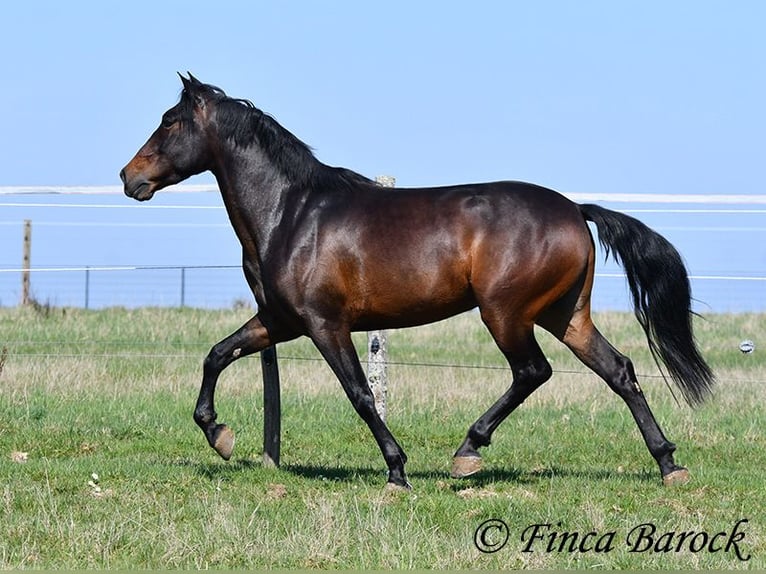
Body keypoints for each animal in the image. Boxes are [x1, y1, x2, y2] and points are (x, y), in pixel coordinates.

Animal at [120, 73, 714, 490]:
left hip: (505, 313)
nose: (130, 177)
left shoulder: (325, 324)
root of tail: (575, 210)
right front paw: (219, 435)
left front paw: (397, 471)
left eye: (170, 121)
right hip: (564, 314)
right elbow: (217, 354)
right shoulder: (280, 321)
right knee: (619, 371)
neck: (292, 214)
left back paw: (467, 453)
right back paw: (668, 465)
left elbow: (361, 394)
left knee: (533, 371)